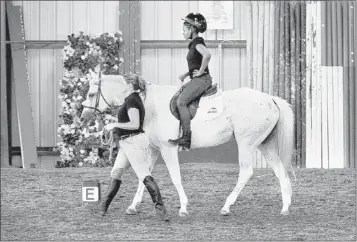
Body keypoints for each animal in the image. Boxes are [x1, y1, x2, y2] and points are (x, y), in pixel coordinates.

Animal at [80, 71, 294, 216]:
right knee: (279, 170)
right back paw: (285, 207)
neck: (150, 106)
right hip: (264, 144)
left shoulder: (167, 148)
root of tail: (270, 99)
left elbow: (175, 176)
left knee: (246, 172)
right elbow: (145, 177)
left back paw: (226, 206)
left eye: (91, 94)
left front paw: (183, 207)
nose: (83, 116)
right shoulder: (154, 149)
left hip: (246, 144)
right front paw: (133, 206)